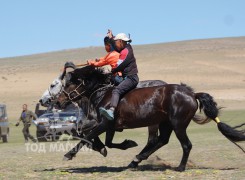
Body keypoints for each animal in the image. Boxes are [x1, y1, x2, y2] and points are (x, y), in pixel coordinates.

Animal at [56, 66, 244, 172]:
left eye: (69, 84)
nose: (57, 101)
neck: (104, 92)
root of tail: (192, 94)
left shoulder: (104, 123)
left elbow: (86, 136)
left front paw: (68, 154)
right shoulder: (109, 125)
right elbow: (103, 140)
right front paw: (115, 146)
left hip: (177, 125)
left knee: (185, 145)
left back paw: (180, 168)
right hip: (166, 123)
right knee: (161, 140)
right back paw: (135, 160)